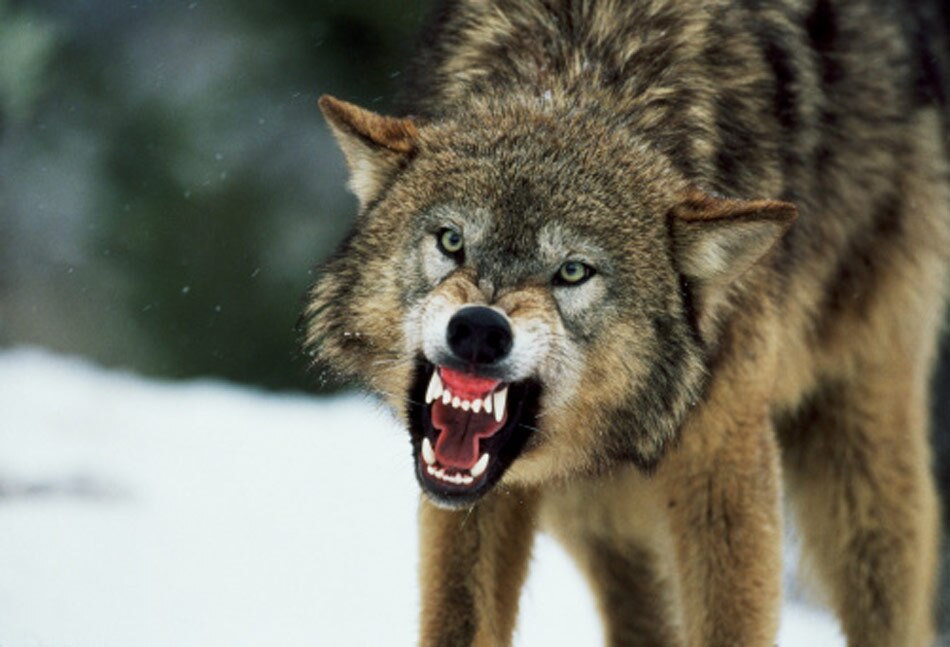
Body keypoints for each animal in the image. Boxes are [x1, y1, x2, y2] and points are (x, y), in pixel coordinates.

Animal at [304, 0, 950, 644]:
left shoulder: (723, 464)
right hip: (595, 512)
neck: (581, 69)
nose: (480, 330)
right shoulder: (473, 494)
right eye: (451, 240)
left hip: (860, 461)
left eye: (573, 271)